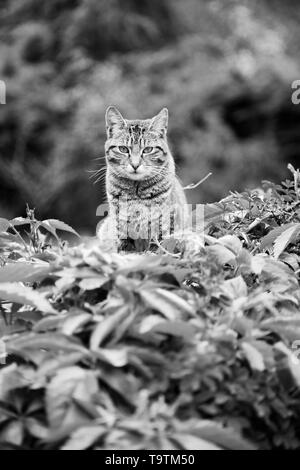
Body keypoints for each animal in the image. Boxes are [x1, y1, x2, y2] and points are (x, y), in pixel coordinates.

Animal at [97, 106, 188, 252]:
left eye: (147, 150)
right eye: (123, 149)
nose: (135, 165)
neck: (136, 189)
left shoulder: (164, 223)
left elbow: (159, 244)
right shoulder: (120, 222)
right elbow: (124, 244)